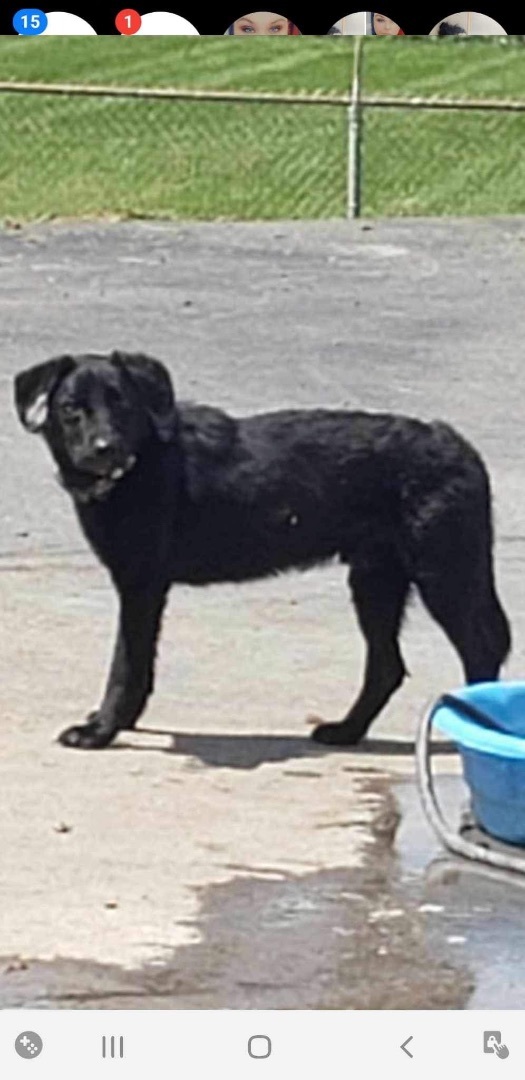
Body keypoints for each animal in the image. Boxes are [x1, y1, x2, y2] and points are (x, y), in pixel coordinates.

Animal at [14, 354, 509, 751]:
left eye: (123, 404)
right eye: (71, 409)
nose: (105, 449)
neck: (138, 465)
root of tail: (458, 444)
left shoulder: (141, 585)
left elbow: (125, 666)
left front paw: (102, 730)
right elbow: (138, 666)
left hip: (443, 574)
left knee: (482, 649)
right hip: (376, 579)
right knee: (387, 666)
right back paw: (347, 731)